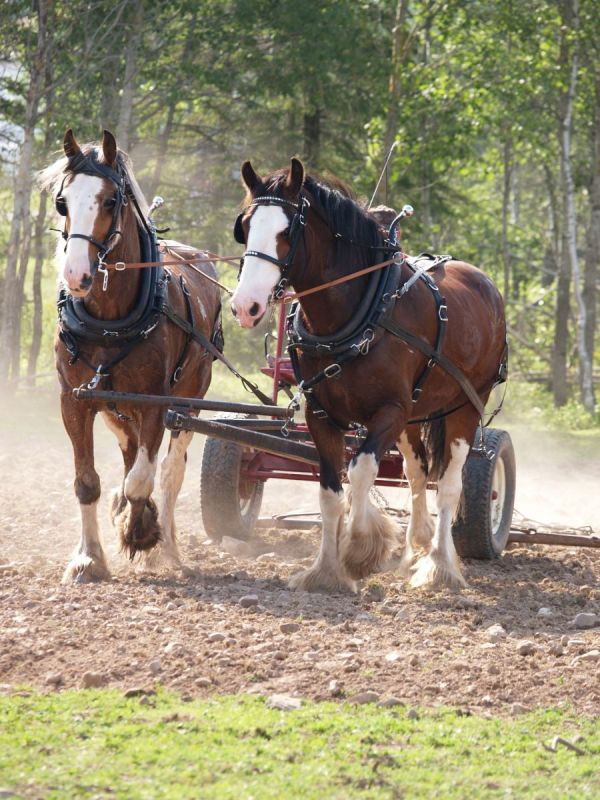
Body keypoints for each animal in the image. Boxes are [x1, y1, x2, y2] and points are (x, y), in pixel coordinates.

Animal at [39, 129, 222, 583]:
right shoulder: (75, 401)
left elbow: (143, 480)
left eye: (110, 201)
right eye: (62, 202)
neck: (108, 322)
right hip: (116, 409)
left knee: (169, 472)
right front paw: (89, 558)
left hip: (188, 399)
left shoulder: (154, 404)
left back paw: (167, 546)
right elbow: (87, 481)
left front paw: (140, 532)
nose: (75, 276)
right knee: (131, 454)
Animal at [231, 158, 507, 593]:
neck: (358, 312)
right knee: (416, 474)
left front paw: (361, 549)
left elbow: (360, 471)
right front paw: (326, 570)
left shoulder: (389, 412)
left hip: (465, 405)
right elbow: (330, 490)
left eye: (287, 231)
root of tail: (486, 285)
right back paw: (417, 545)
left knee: (449, 484)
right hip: (416, 415)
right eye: (244, 226)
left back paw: (440, 565)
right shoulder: (321, 415)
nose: (246, 306)